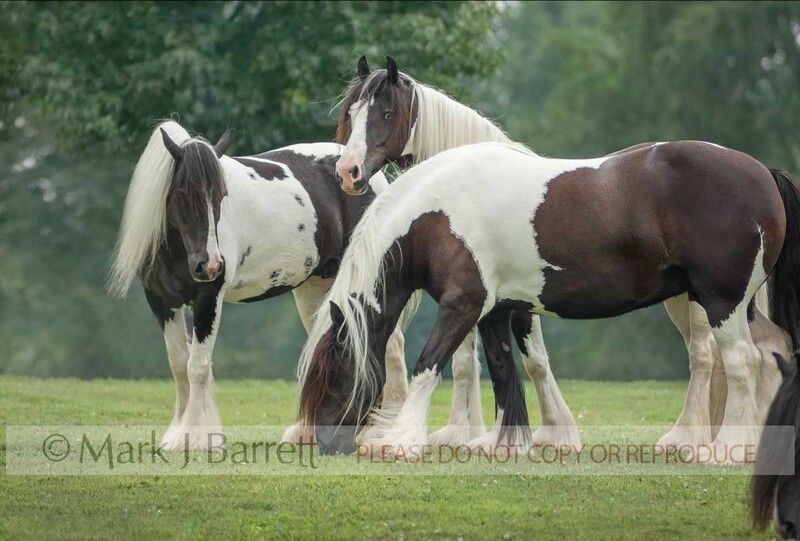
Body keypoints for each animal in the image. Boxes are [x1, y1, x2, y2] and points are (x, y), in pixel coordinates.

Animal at [109, 120, 410, 450]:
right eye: (182, 193)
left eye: (222, 194)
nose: (210, 265)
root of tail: (371, 177)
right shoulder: (161, 302)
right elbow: (179, 365)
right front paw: (177, 434)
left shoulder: (208, 299)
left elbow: (197, 366)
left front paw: (196, 437)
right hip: (315, 286)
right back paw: (306, 433)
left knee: (391, 344)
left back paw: (384, 432)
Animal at [329, 55, 790, 452]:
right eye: (352, 114)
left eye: (387, 113)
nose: (348, 172)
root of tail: (762, 171)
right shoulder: (505, 299)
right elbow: (489, 360)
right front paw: (492, 434)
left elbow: (525, 361)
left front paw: (535, 434)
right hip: (706, 299)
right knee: (754, 350)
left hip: (714, 299)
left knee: (716, 356)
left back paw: (703, 441)